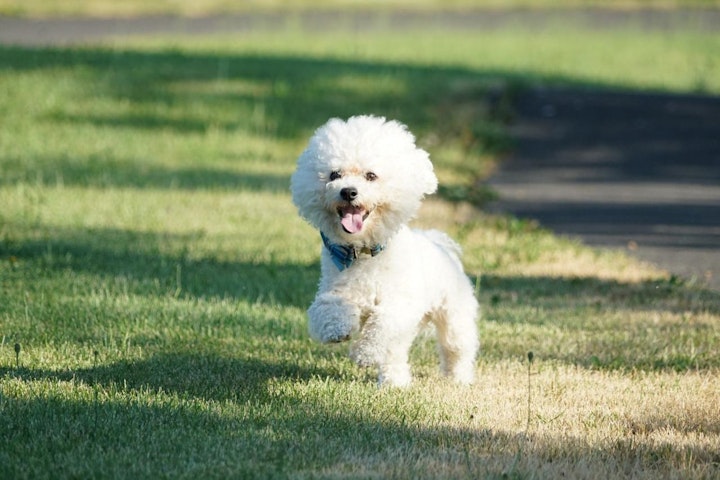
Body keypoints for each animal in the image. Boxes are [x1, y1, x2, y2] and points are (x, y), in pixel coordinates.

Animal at [290, 115, 480, 386]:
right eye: (334, 174)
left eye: (371, 175)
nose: (348, 191)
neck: (364, 253)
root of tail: (439, 243)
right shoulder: (335, 290)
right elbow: (328, 309)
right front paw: (337, 329)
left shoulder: (401, 304)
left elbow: (382, 325)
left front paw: (364, 353)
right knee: (396, 353)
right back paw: (395, 383)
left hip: (454, 314)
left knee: (456, 348)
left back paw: (458, 378)